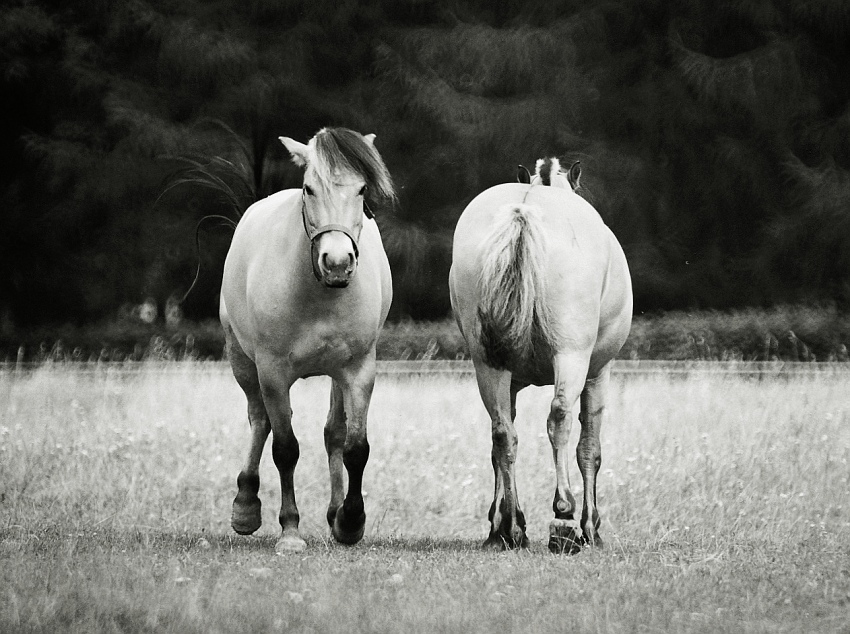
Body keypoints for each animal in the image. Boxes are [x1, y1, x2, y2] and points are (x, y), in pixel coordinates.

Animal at [217, 126, 392, 552]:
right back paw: (245, 505)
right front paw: (291, 531)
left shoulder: (358, 371)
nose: (338, 262)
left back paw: (334, 513)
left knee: (333, 435)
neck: (318, 292)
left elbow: (355, 448)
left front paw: (350, 520)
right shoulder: (273, 372)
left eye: (362, 189)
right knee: (259, 420)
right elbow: (285, 448)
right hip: (243, 363)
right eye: (310, 189)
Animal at [450, 159, 628, 552]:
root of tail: (524, 210)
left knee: (503, 433)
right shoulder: (598, 373)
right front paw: (591, 526)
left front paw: (501, 521)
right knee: (559, 418)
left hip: (489, 366)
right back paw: (563, 515)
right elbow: (589, 448)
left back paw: (509, 528)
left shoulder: (510, 382)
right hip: (571, 358)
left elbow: (500, 445)